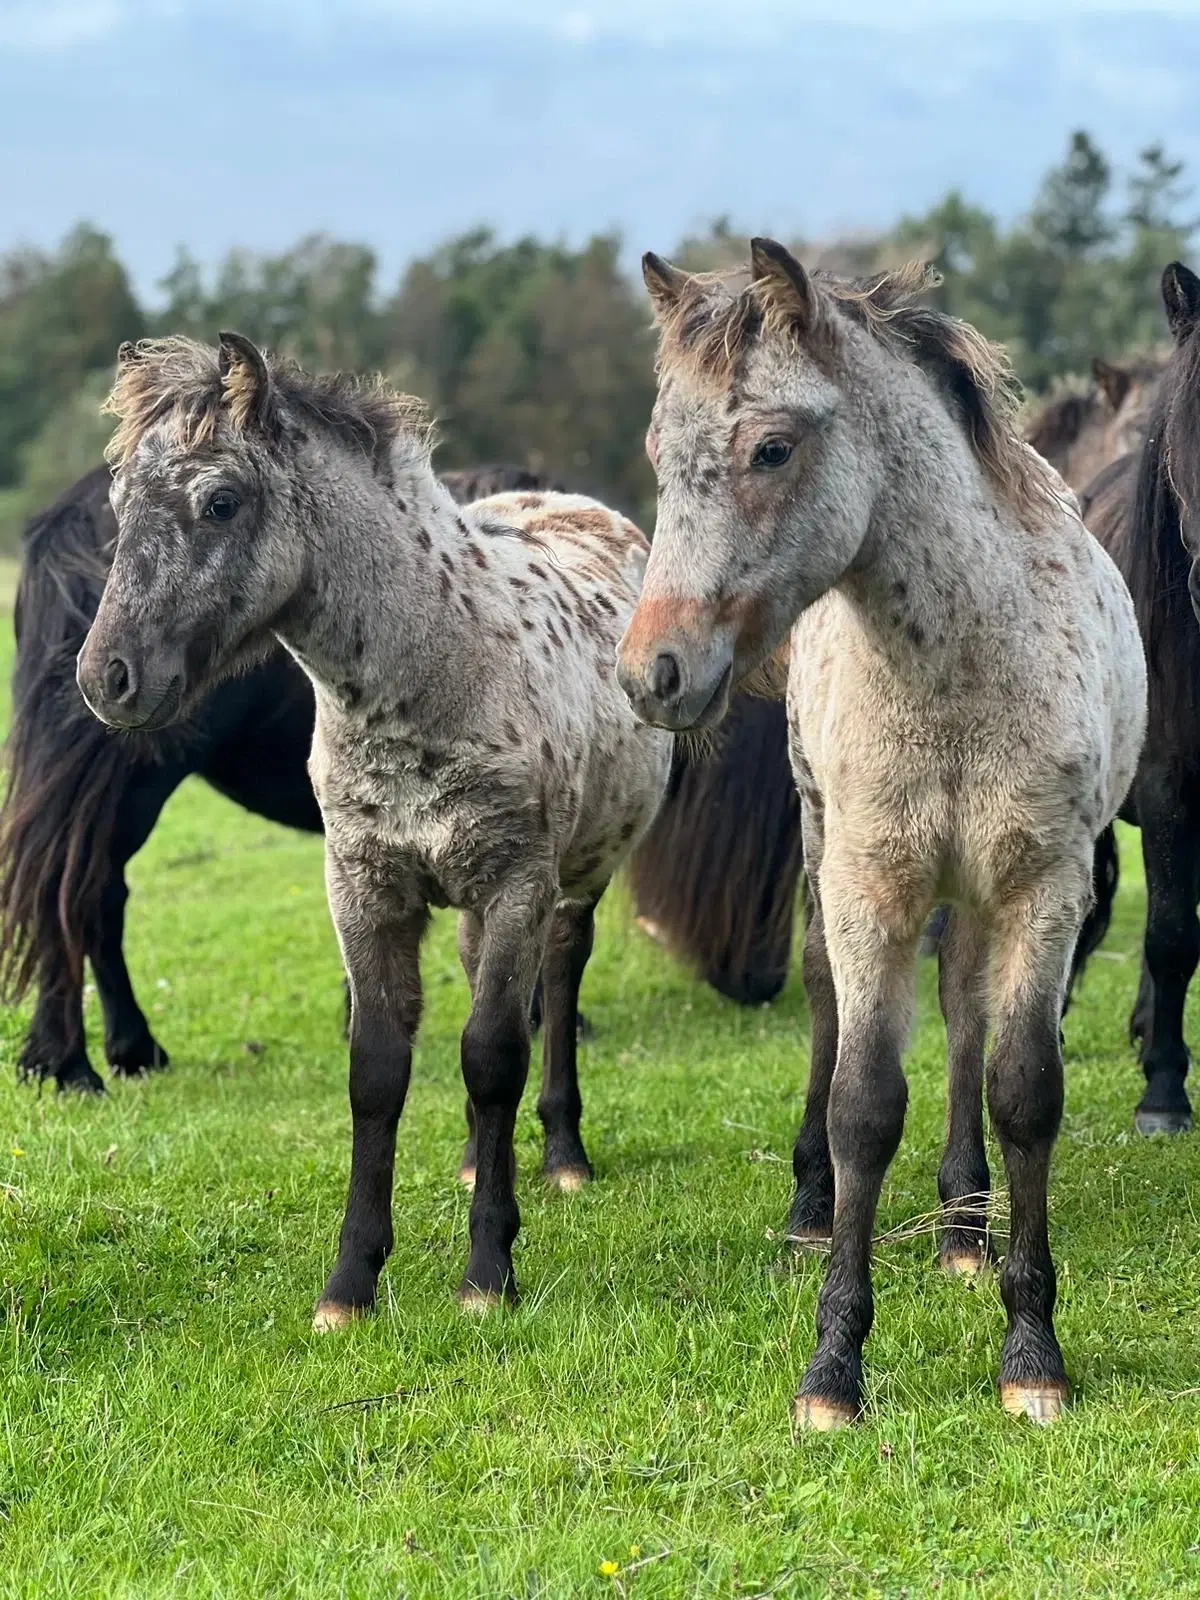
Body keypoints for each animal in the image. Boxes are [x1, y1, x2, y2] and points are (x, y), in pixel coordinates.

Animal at [2, 464, 809, 1088]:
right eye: (778, 838)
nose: (762, 983)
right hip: (129, 781)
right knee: (76, 892)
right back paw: (70, 1064)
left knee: (94, 896)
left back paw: (128, 1052)